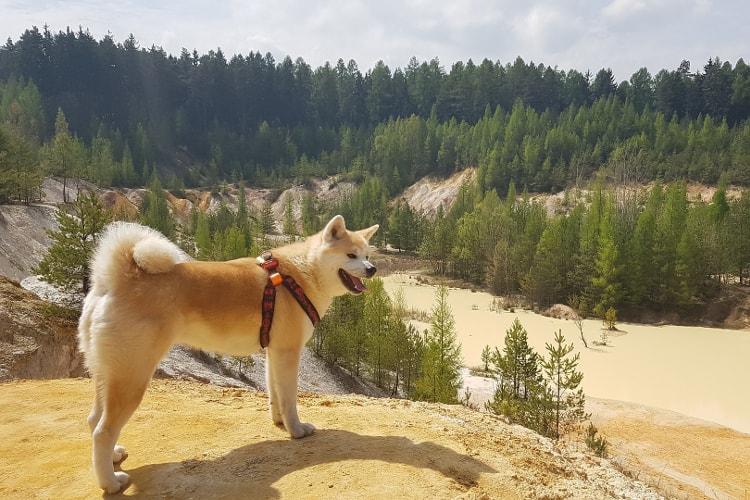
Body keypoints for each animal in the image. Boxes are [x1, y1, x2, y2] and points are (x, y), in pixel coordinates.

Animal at [79, 215, 378, 492]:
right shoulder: (288, 351)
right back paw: (110, 482)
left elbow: (276, 396)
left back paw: (113, 458)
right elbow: (290, 398)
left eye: (367, 255)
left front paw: (280, 423)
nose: (372, 269)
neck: (302, 273)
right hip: (132, 377)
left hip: (107, 374)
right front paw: (296, 430)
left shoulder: (274, 352)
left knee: (94, 420)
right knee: (103, 431)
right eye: (351, 255)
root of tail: (116, 280)